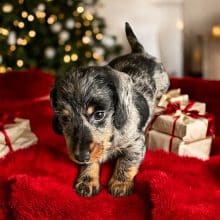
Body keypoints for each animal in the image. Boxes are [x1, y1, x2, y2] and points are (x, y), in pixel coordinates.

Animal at [50, 22, 169, 198]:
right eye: (65, 119)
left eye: (99, 115)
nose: (80, 156)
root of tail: (139, 52)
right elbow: (90, 163)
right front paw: (87, 180)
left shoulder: (136, 143)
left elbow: (127, 161)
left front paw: (120, 182)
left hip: (165, 83)